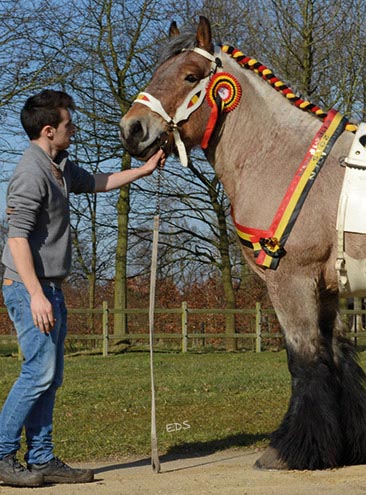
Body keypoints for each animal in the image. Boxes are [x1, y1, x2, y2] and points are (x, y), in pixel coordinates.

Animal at [121, 16, 366, 472]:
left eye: (190, 76)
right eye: (156, 72)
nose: (132, 129)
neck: (284, 156)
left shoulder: (291, 282)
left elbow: (304, 362)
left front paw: (291, 451)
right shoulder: (326, 289)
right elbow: (338, 357)